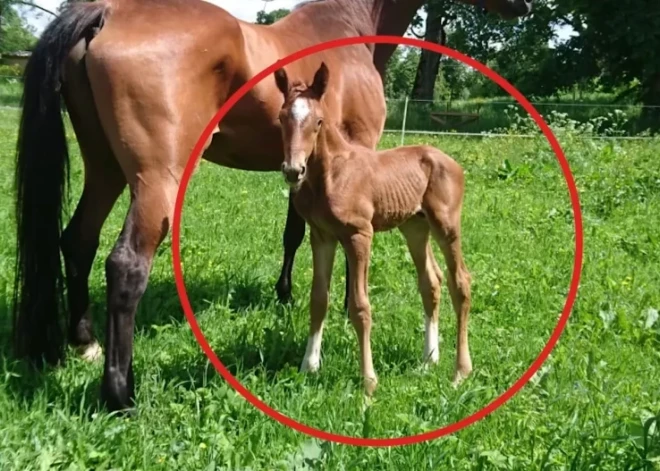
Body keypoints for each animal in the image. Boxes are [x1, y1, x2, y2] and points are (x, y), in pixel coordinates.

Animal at [274, 62, 474, 394]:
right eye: (281, 118)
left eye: (318, 121)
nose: (293, 170)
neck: (331, 174)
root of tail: (451, 161)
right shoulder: (322, 236)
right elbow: (319, 299)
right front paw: (308, 367)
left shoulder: (359, 236)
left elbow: (360, 306)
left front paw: (368, 382)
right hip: (415, 227)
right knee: (431, 281)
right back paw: (429, 359)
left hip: (446, 225)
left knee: (460, 283)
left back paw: (460, 371)